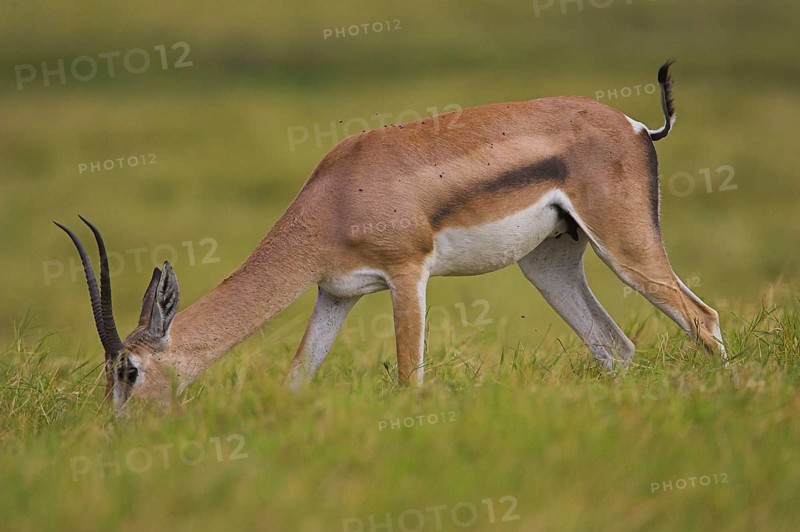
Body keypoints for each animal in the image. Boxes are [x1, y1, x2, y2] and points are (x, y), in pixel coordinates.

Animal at [56, 61, 725, 414]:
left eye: (128, 371)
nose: (117, 430)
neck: (334, 196)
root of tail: (636, 125)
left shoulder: (408, 275)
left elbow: (409, 380)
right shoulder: (335, 294)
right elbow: (298, 376)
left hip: (626, 248)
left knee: (702, 317)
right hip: (547, 266)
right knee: (615, 346)